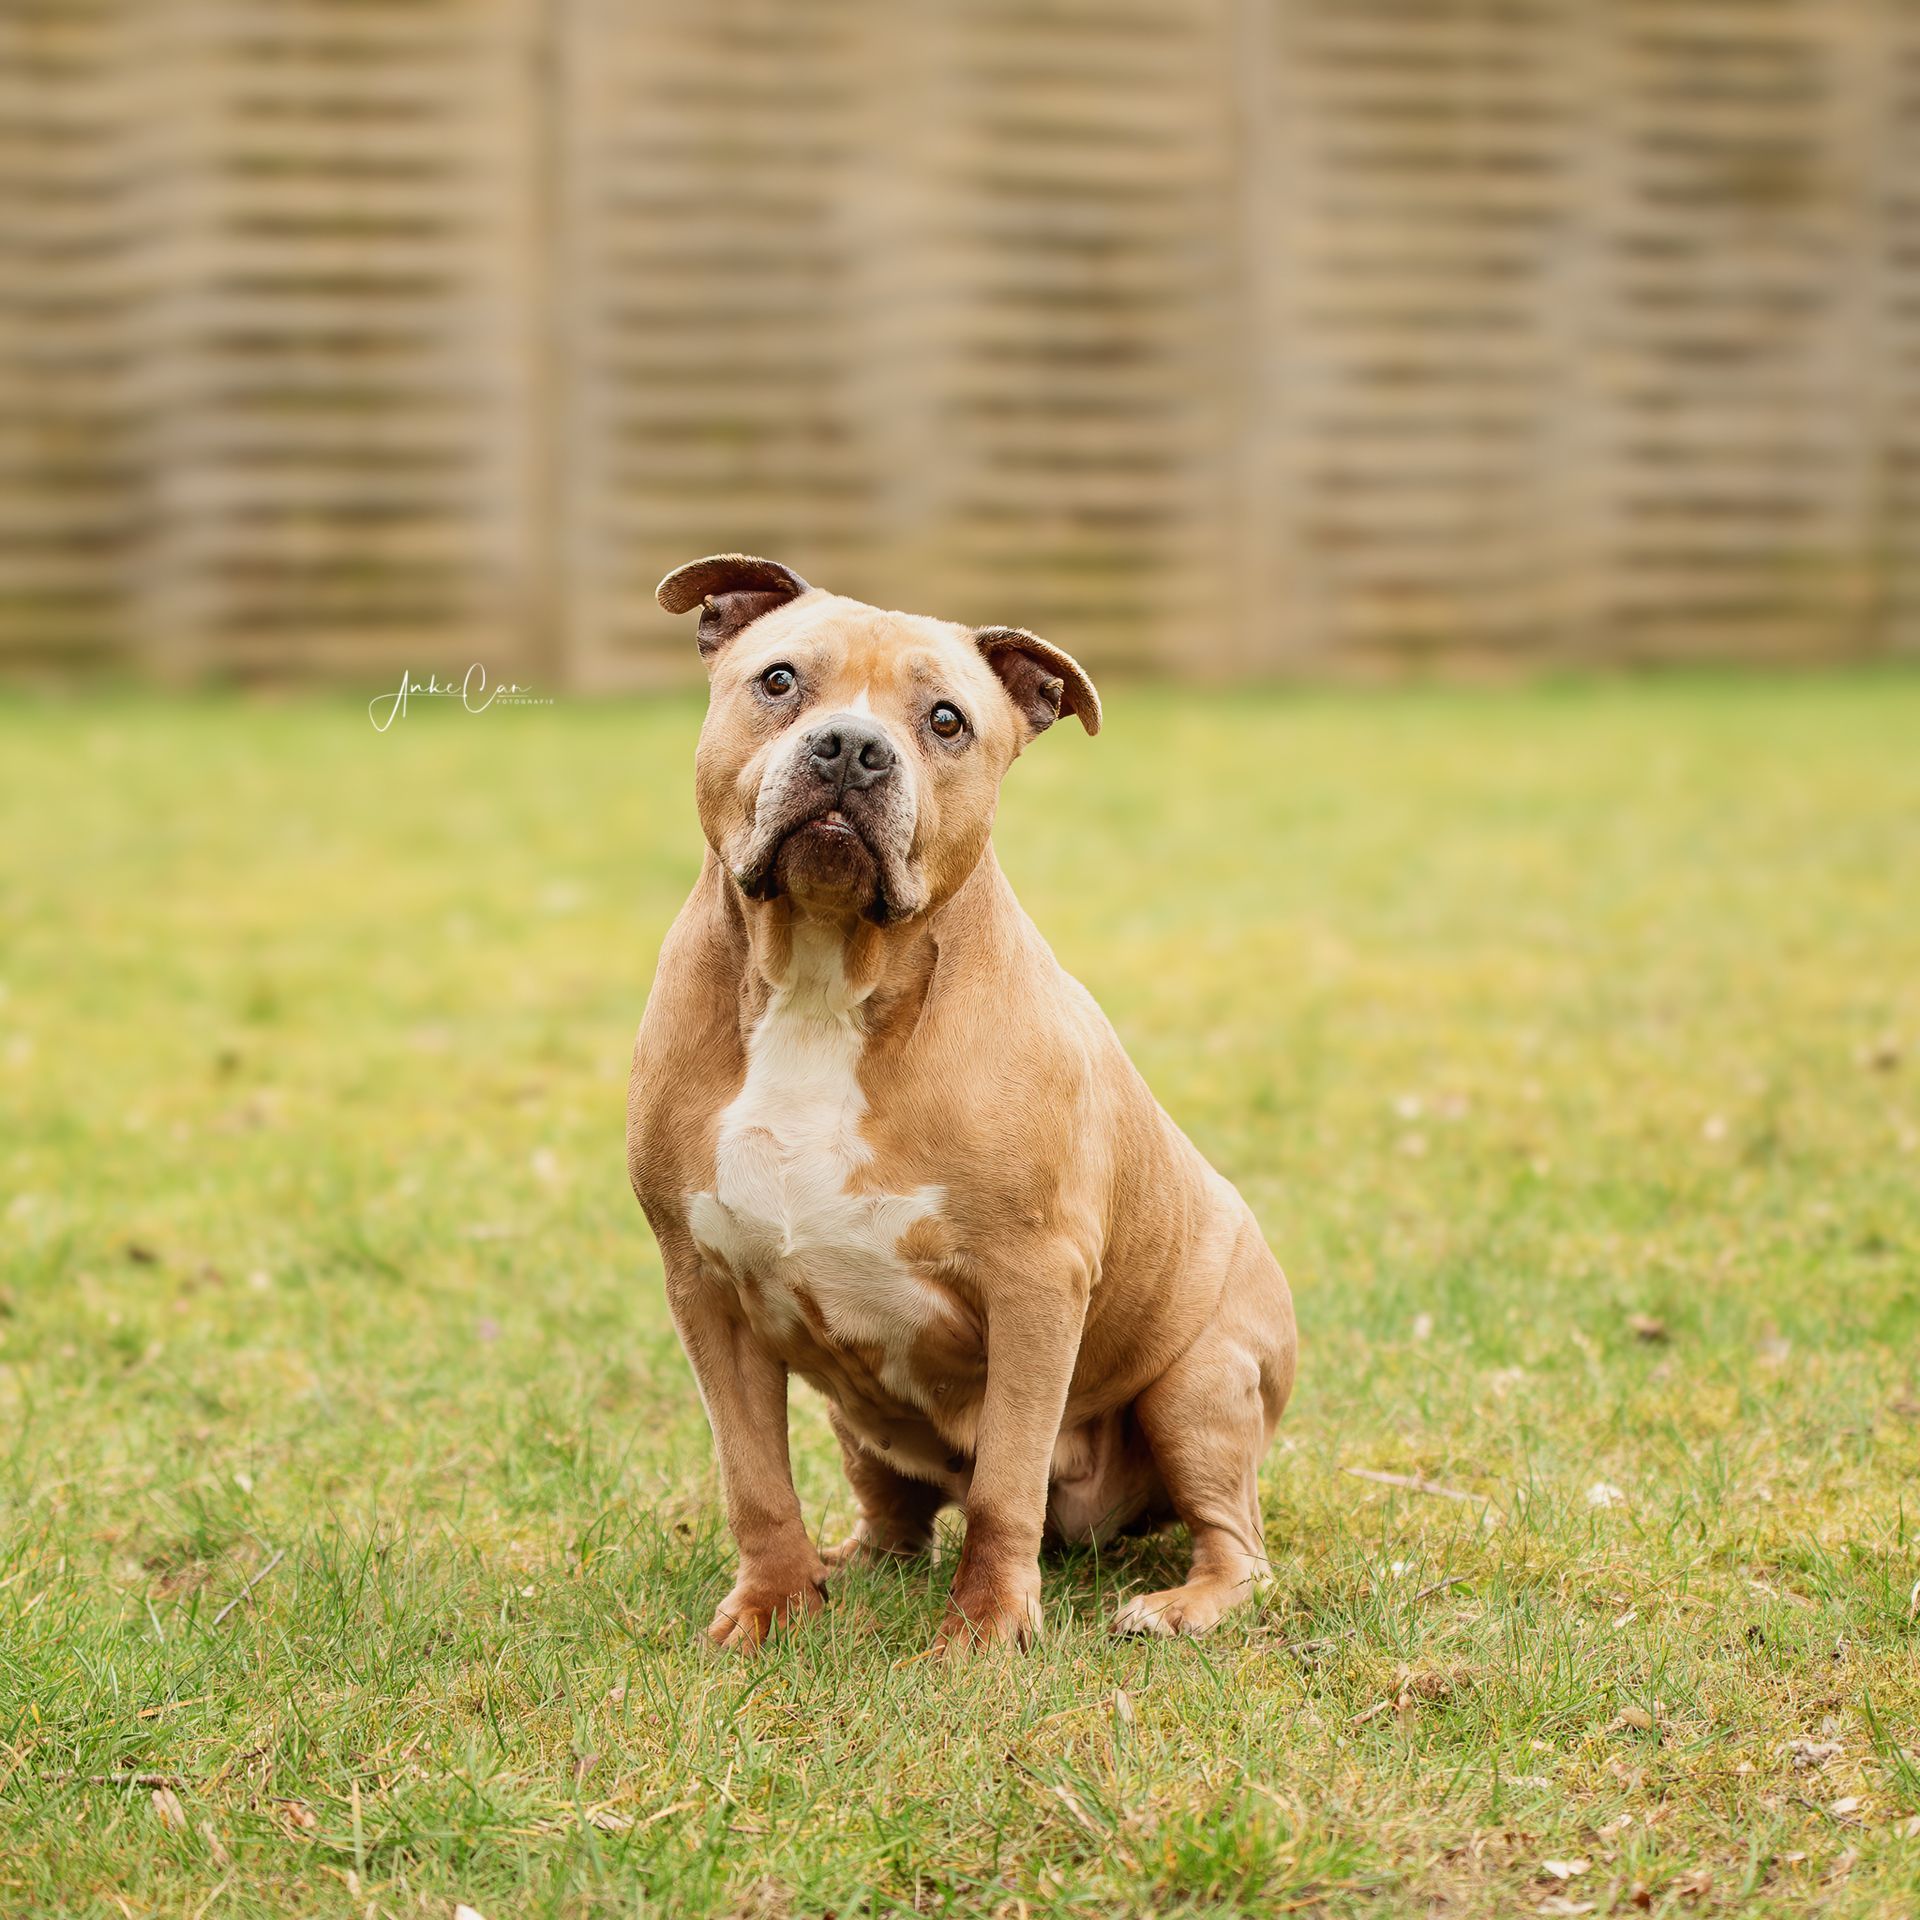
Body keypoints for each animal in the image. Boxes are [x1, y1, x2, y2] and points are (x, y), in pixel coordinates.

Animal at [628, 555, 1296, 1652]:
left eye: (946, 720)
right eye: (779, 680)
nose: (852, 748)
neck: (824, 979)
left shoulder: (1034, 1286)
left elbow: (1003, 1486)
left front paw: (985, 1634)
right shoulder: (704, 1288)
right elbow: (754, 1478)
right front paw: (771, 1606)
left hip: (1199, 1389)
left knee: (1235, 1539)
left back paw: (1180, 1604)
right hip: (857, 1422)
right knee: (892, 1516)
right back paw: (844, 1567)